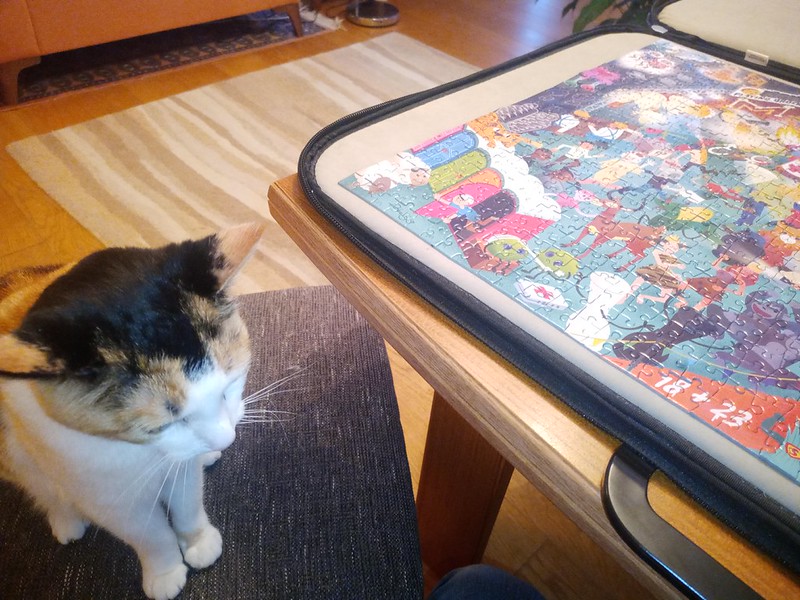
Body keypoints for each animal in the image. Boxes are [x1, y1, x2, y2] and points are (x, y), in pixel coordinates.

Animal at [0, 222, 263, 600]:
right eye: (165, 423)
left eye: (231, 383)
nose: (226, 440)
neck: (142, 455)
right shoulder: (110, 502)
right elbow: (150, 535)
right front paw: (165, 572)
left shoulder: (182, 472)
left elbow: (187, 506)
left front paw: (198, 543)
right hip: (16, 458)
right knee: (43, 490)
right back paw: (66, 521)